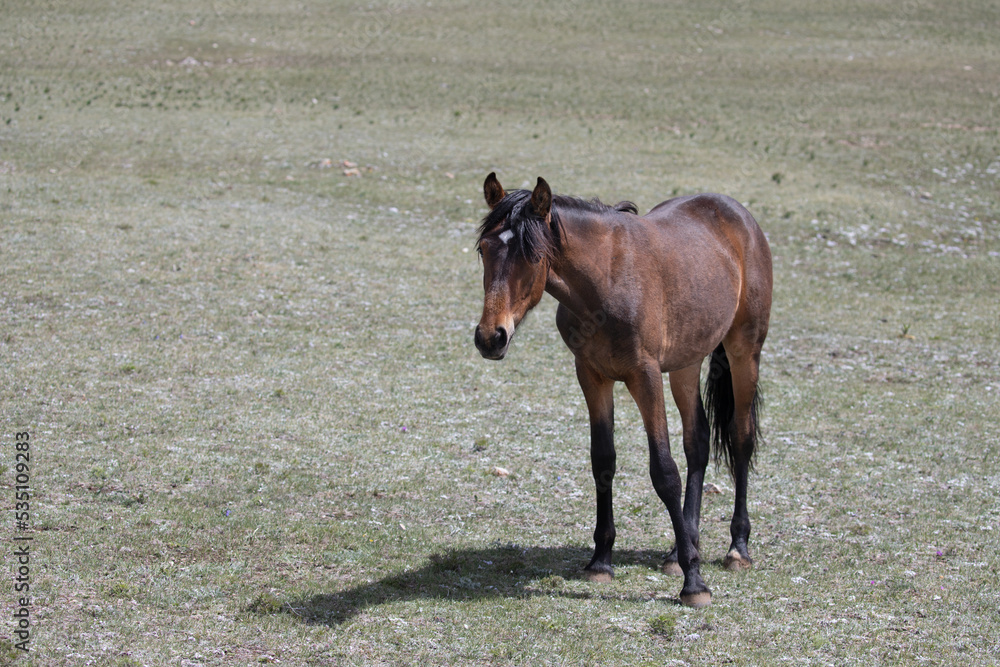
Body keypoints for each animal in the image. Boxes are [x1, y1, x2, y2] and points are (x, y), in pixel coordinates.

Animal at [473, 173, 772, 608]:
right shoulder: (592, 375)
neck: (605, 282)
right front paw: (601, 561)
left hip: (743, 351)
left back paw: (737, 548)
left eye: (533, 255)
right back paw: (679, 550)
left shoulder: (644, 376)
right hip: (686, 363)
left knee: (741, 438)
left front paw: (695, 583)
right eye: (484, 249)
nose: (490, 338)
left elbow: (664, 472)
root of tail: (740, 216)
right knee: (697, 442)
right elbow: (603, 461)